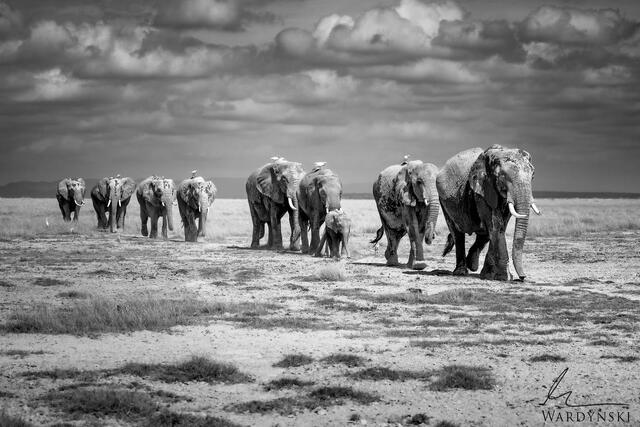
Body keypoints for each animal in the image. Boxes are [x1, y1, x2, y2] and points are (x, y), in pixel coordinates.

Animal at [436, 144, 541, 281]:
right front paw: (503, 277)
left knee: (484, 234)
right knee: (457, 233)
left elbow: (500, 226)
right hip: (444, 201)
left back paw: (472, 265)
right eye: (503, 176)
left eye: (533, 176)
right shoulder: (482, 190)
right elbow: (496, 224)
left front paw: (488, 275)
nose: (522, 277)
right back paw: (461, 272)